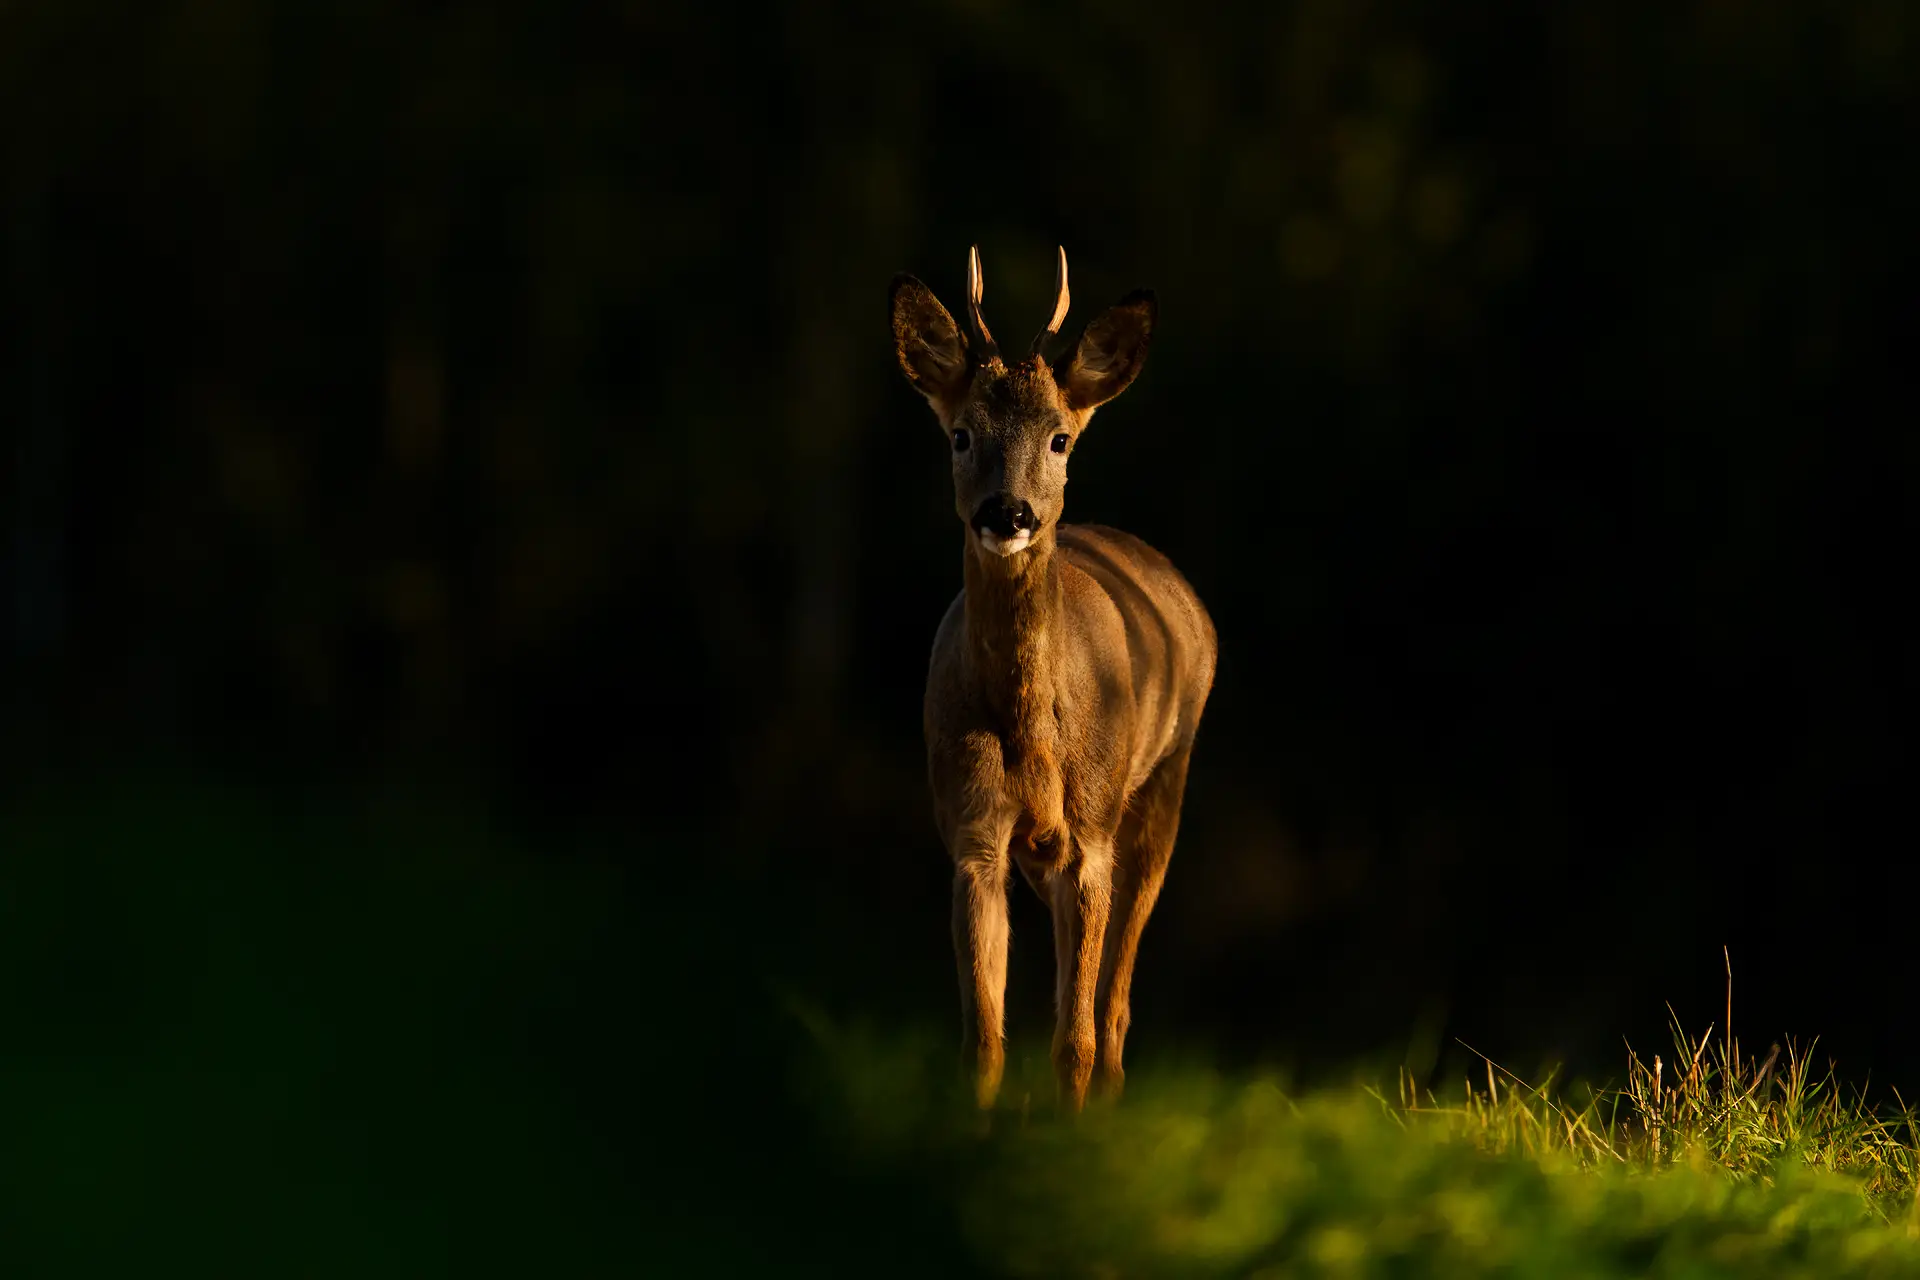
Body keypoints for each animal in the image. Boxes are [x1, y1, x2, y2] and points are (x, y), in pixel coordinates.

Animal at [889, 245, 1217, 1113]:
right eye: (961, 434)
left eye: (1061, 439)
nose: (1008, 514)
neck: (1032, 732)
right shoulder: (973, 834)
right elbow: (984, 1040)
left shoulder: (1092, 835)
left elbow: (1074, 1037)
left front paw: (1075, 1127)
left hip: (1160, 790)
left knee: (1115, 1000)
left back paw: (1109, 1098)